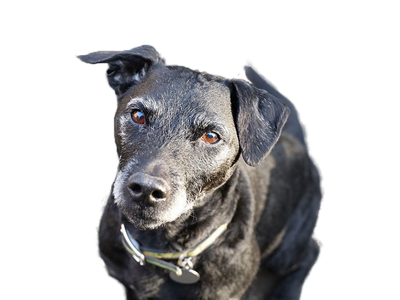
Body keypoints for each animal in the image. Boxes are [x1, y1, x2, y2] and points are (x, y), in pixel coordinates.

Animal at [73, 42, 326, 300]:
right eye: (139, 115)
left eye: (211, 136)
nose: (145, 190)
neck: (163, 245)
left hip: (287, 249)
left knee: (311, 252)